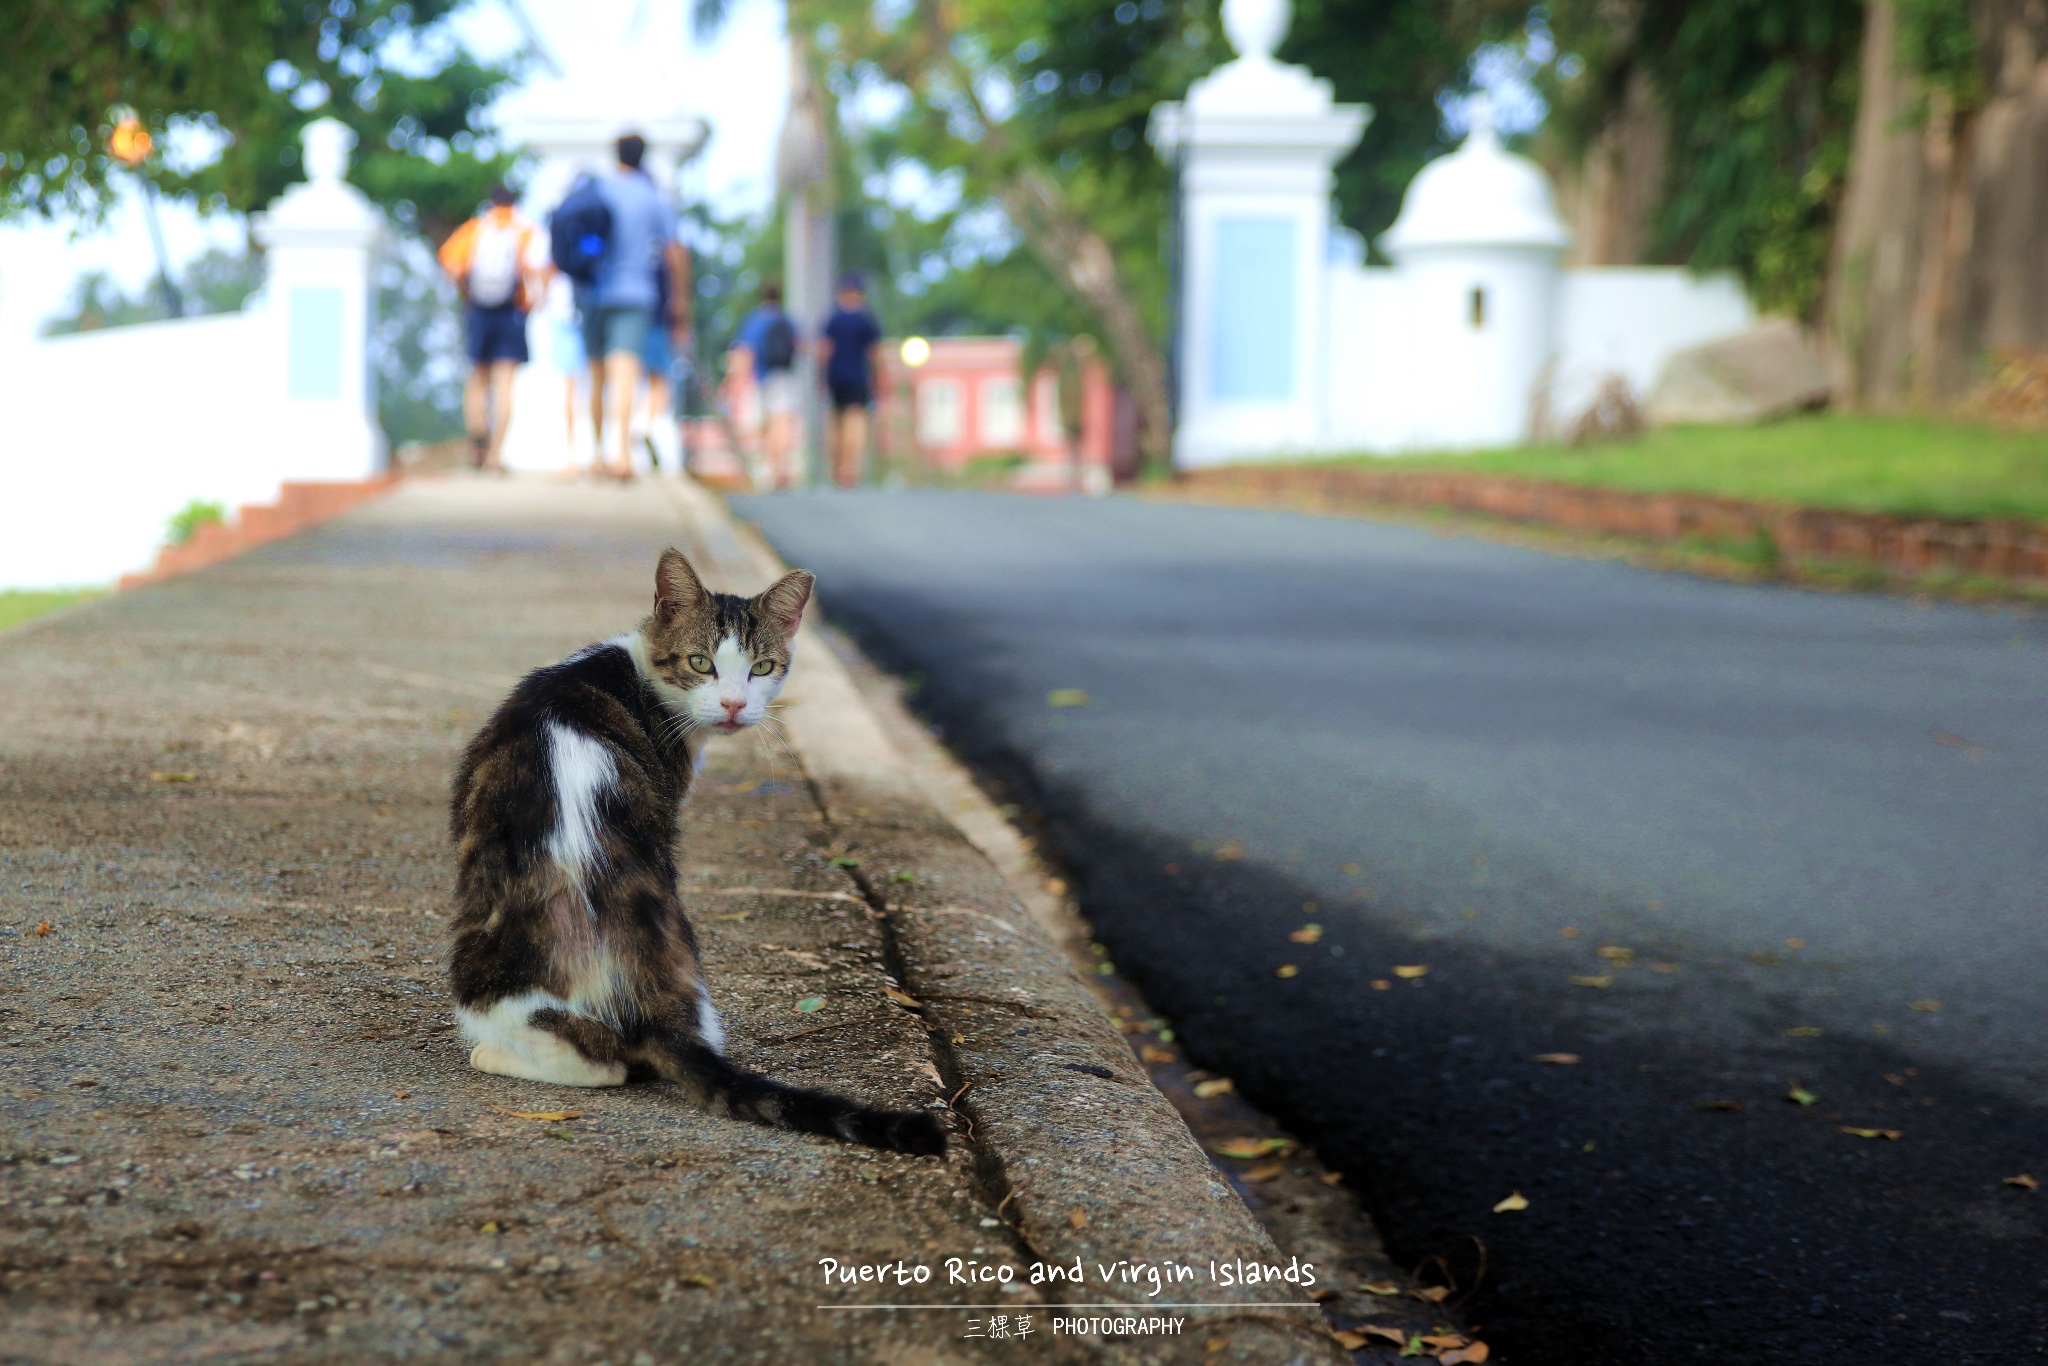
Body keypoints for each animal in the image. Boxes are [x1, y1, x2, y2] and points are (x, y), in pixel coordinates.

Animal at [448, 548, 942, 1163]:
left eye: (761, 668)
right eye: (701, 662)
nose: (733, 704)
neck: (638, 669)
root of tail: (652, 1011)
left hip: (481, 962)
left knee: (598, 1065)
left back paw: (493, 1054)